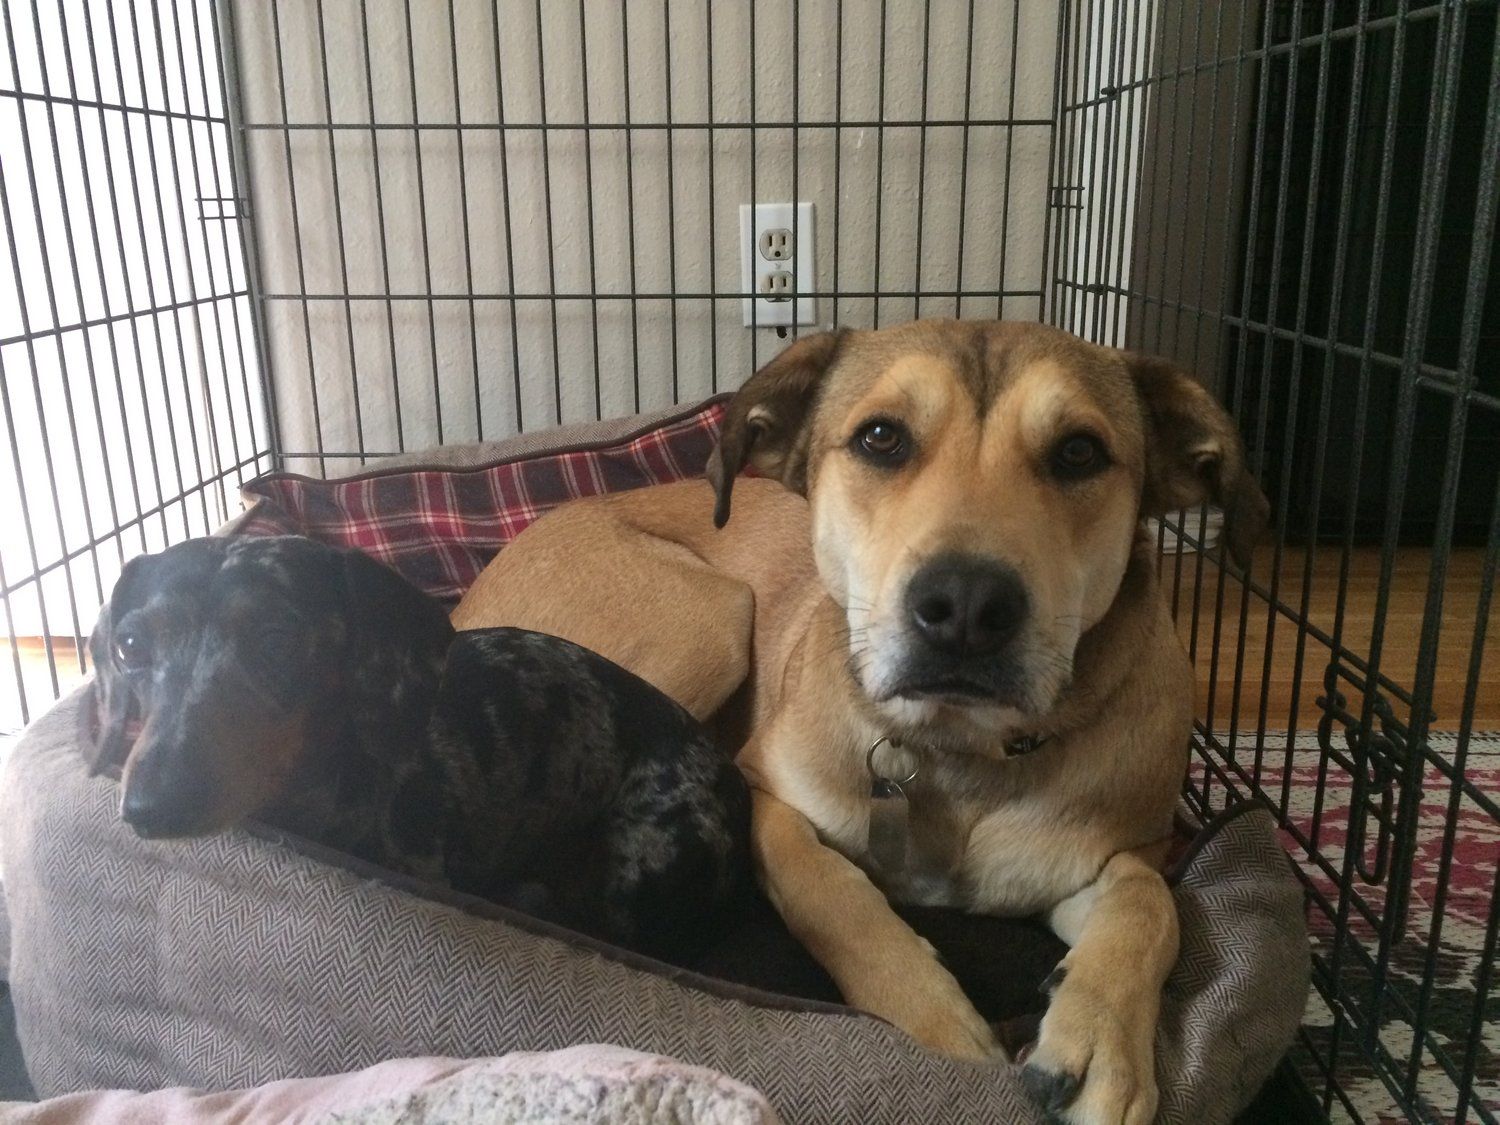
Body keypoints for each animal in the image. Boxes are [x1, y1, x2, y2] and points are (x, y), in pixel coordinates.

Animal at [453, 321, 1266, 1122]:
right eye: (881, 437)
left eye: (1078, 452)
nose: (966, 605)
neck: (959, 749)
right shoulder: (763, 793)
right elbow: (833, 893)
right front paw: (932, 1019)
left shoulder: (1114, 853)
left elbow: (1150, 902)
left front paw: (1102, 1047)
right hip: (708, 619)